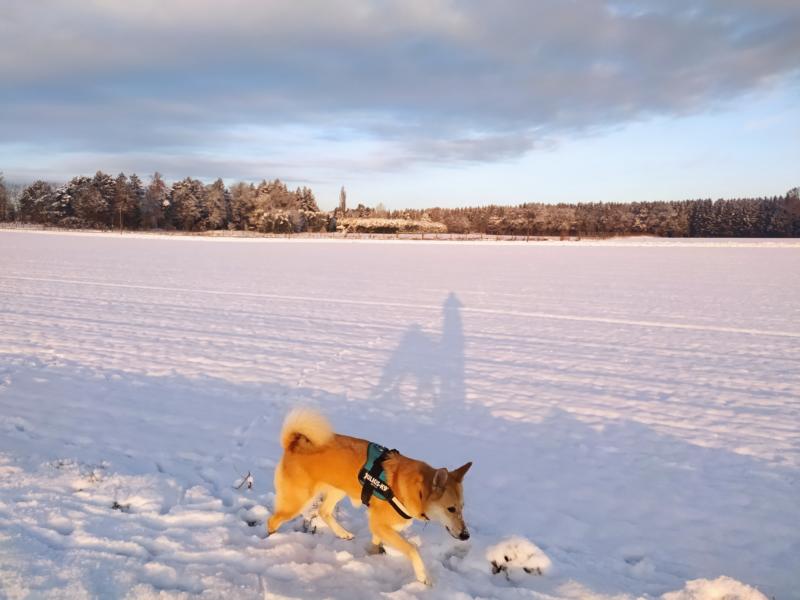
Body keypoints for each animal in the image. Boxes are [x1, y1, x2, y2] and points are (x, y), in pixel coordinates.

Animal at [266, 410, 472, 584]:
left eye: (462, 507)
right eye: (451, 509)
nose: (466, 535)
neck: (415, 489)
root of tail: (293, 444)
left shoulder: (378, 525)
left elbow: (376, 542)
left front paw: (373, 555)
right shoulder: (380, 524)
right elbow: (412, 549)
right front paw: (423, 576)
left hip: (338, 489)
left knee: (324, 511)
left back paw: (343, 533)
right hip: (297, 501)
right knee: (273, 521)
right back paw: (271, 540)